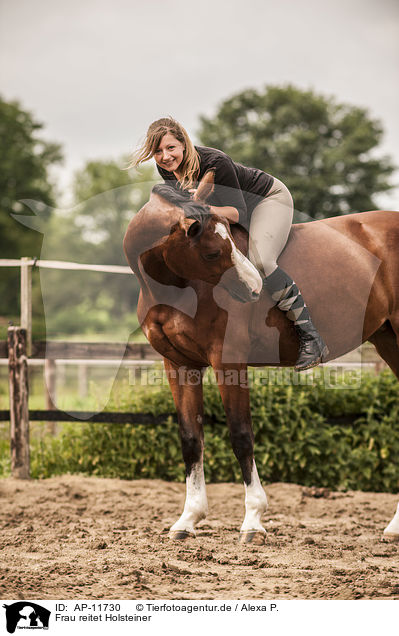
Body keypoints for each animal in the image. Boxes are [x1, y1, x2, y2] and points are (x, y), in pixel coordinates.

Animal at [122, 171, 399, 544]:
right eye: (212, 252)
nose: (255, 288)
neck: (175, 288)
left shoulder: (229, 361)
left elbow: (241, 435)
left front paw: (252, 520)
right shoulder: (179, 365)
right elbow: (191, 438)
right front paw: (188, 520)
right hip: (388, 340)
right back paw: (395, 527)